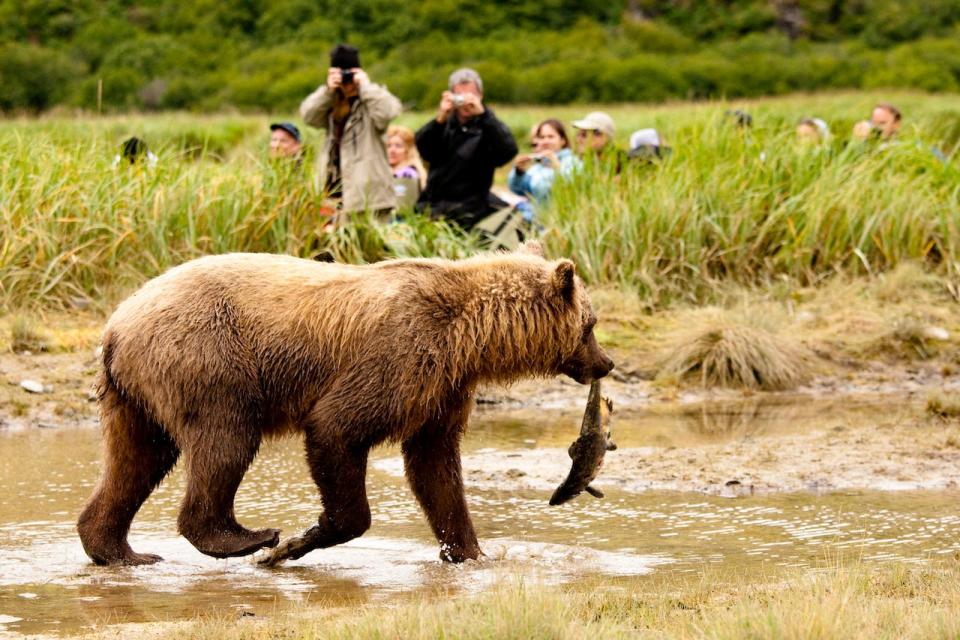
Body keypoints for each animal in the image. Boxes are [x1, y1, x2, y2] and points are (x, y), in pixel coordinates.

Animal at [77, 241, 616, 564]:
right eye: (590, 324)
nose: (607, 363)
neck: (471, 337)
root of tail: (117, 325)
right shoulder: (399, 354)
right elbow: (338, 428)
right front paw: (301, 540)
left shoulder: (441, 389)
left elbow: (436, 466)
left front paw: (468, 551)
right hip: (209, 359)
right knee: (223, 441)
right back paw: (247, 537)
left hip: (135, 394)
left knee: (136, 460)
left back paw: (117, 549)